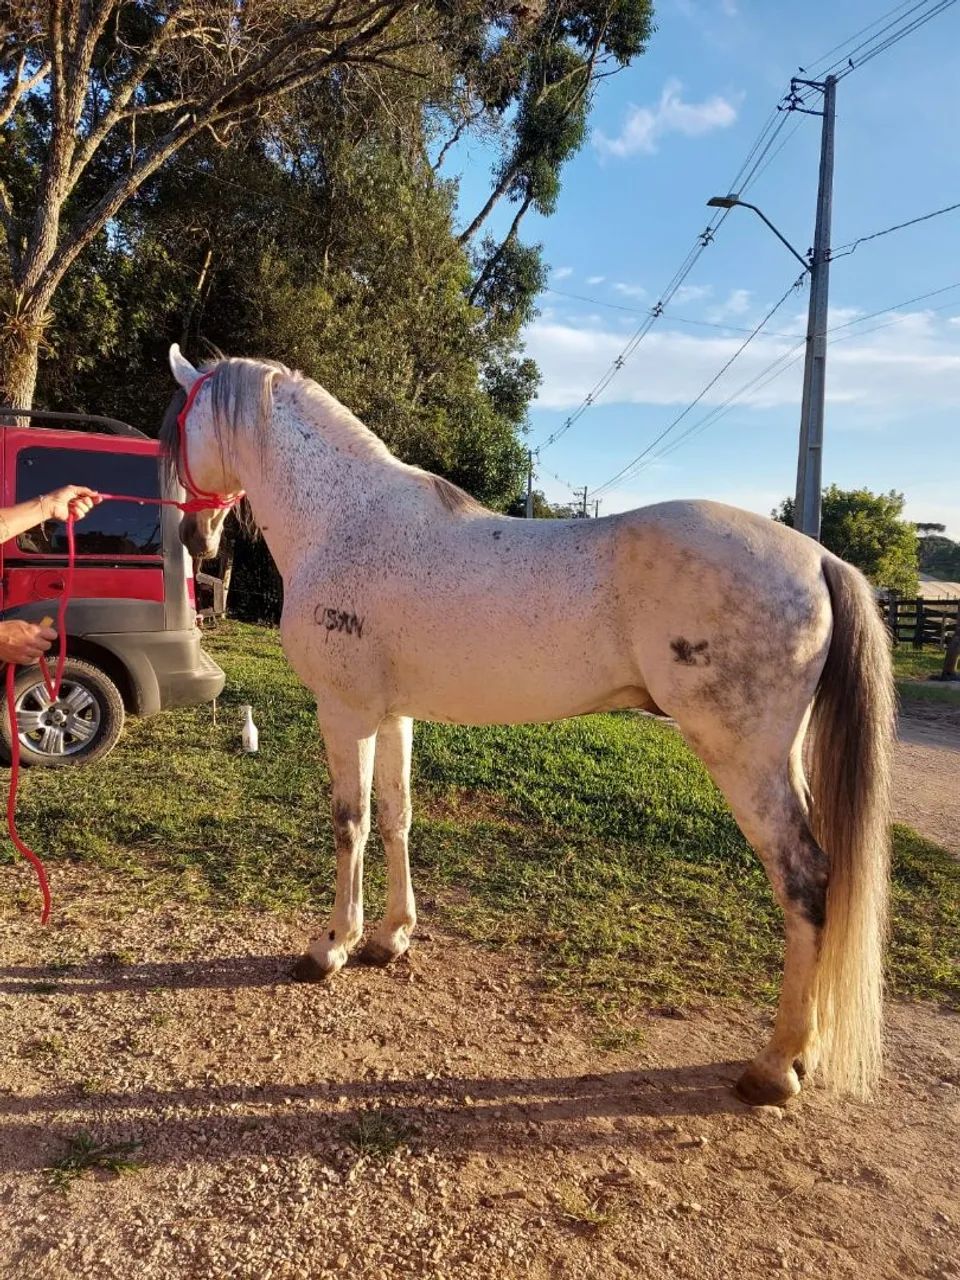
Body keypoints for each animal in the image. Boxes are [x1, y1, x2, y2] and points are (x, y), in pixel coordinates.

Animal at [161, 343, 894, 1108]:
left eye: (176, 429)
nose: (192, 537)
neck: (344, 519)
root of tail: (818, 557)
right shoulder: (392, 716)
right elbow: (396, 818)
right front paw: (389, 938)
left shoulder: (346, 713)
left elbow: (350, 824)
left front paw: (330, 946)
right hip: (781, 760)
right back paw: (799, 1055)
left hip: (744, 761)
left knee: (805, 881)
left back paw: (774, 1067)